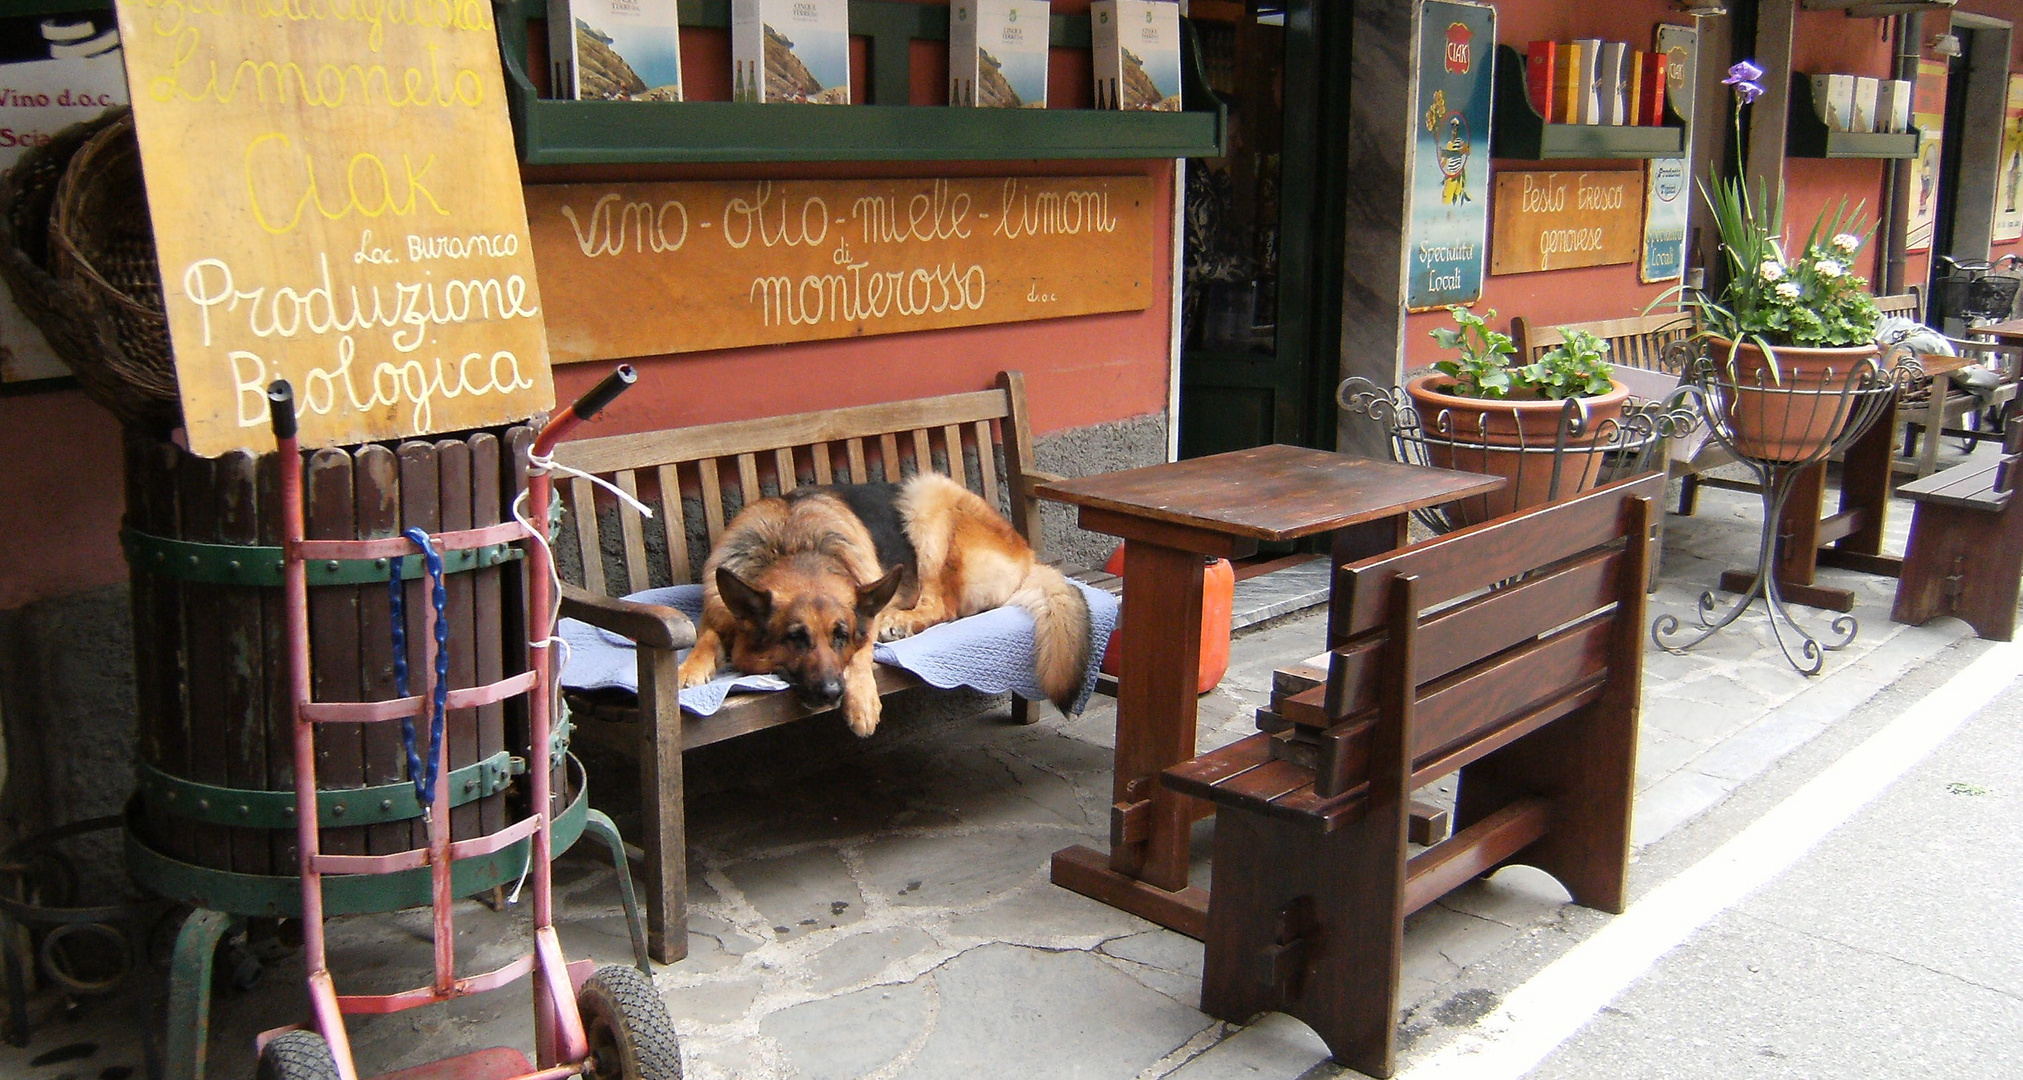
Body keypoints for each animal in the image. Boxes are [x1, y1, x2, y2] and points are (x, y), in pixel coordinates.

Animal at [675, 473, 1092, 736]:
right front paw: (689, 668)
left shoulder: (864, 610)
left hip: (926, 497)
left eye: (841, 637)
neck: (792, 545)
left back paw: (901, 621)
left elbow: (862, 654)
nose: (833, 693)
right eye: (795, 639)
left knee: (942, 606)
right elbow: (706, 636)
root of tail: (1025, 551)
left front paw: (861, 702)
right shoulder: (718, 611)